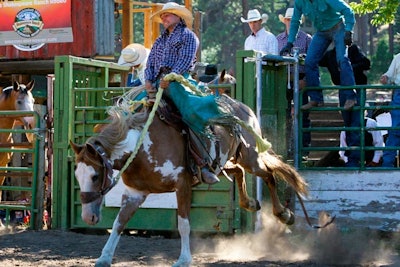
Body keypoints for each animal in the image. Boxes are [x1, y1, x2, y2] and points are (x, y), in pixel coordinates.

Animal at [70, 74, 310, 267]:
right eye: (77, 176)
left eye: (95, 175)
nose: (88, 217)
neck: (141, 146)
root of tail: (242, 107)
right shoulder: (135, 194)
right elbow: (119, 223)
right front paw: (104, 257)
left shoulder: (182, 185)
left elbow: (183, 224)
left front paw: (184, 259)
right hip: (225, 163)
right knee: (239, 173)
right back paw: (250, 203)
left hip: (251, 157)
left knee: (269, 174)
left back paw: (285, 214)